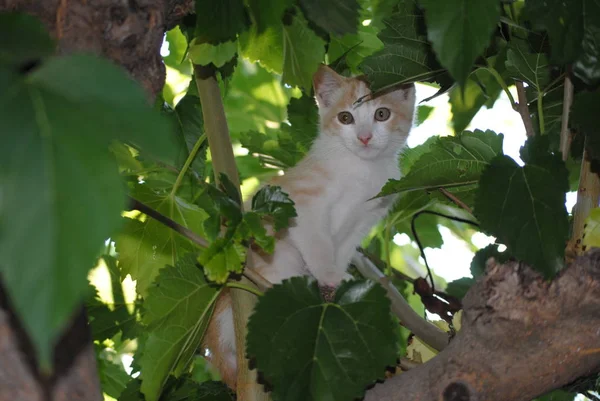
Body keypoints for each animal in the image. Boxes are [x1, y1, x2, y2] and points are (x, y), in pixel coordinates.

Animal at [204, 65, 414, 388]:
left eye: (382, 114)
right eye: (345, 118)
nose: (364, 137)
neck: (361, 170)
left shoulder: (365, 217)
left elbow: (342, 251)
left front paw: (338, 281)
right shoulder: (301, 205)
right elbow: (318, 244)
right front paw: (328, 276)